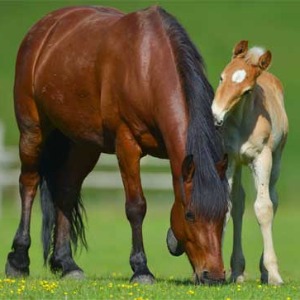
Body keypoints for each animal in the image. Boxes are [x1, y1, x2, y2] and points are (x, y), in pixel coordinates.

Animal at [6, 5, 227, 284]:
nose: (215, 276)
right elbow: (136, 206)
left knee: (65, 191)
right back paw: (18, 260)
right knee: (29, 183)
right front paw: (141, 269)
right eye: (190, 215)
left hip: (82, 145)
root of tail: (43, 28)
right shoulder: (127, 145)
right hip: (32, 130)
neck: (148, 66)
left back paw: (67, 264)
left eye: (223, 214)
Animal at [211, 40, 288, 286]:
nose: (216, 115)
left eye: (247, 91)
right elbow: (226, 206)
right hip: (238, 165)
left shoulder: (262, 158)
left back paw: (264, 271)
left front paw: (274, 274)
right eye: (221, 77)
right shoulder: (229, 158)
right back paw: (237, 271)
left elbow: (264, 208)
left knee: (273, 199)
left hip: (276, 160)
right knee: (238, 203)